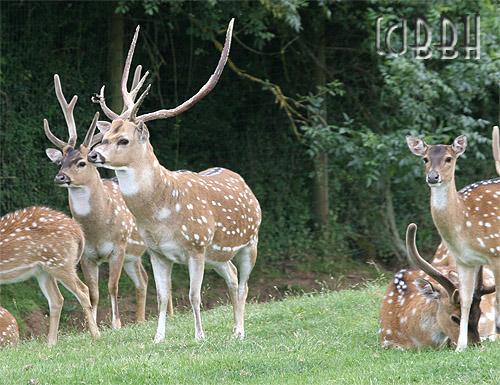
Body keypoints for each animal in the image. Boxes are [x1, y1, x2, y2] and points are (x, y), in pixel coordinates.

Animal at [0, 206, 100, 344]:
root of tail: (78, 231)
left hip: (60, 263)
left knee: (83, 290)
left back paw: (96, 335)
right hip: (43, 270)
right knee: (57, 299)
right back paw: (51, 343)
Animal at [43, 73, 175, 326]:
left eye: (81, 162)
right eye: (59, 162)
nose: (60, 177)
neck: (97, 229)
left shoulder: (119, 246)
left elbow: (112, 287)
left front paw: (116, 324)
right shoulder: (87, 256)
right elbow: (94, 292)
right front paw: (92, 325)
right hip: (135, 255)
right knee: (143, 279)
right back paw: (141, 320)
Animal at [89, 19, 262, 340]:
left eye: (123, 140)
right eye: (104, 136)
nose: (94, 154)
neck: (161, 213)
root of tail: (242, 180)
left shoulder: (196, 244)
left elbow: (194, 295)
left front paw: (199, 336)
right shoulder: (157, 252)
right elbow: (163, 297)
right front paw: (158, 338)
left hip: (250, 241)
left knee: (244, 284)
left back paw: (240, 332)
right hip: (217, 254)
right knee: (232, 276)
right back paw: (234, 329)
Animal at [406, 134, 500, 350]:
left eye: (449, 158)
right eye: (425, 159)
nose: (433, 177)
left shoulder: (496, 252)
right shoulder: (464, 260)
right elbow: (465, 300)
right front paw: (460, 347)